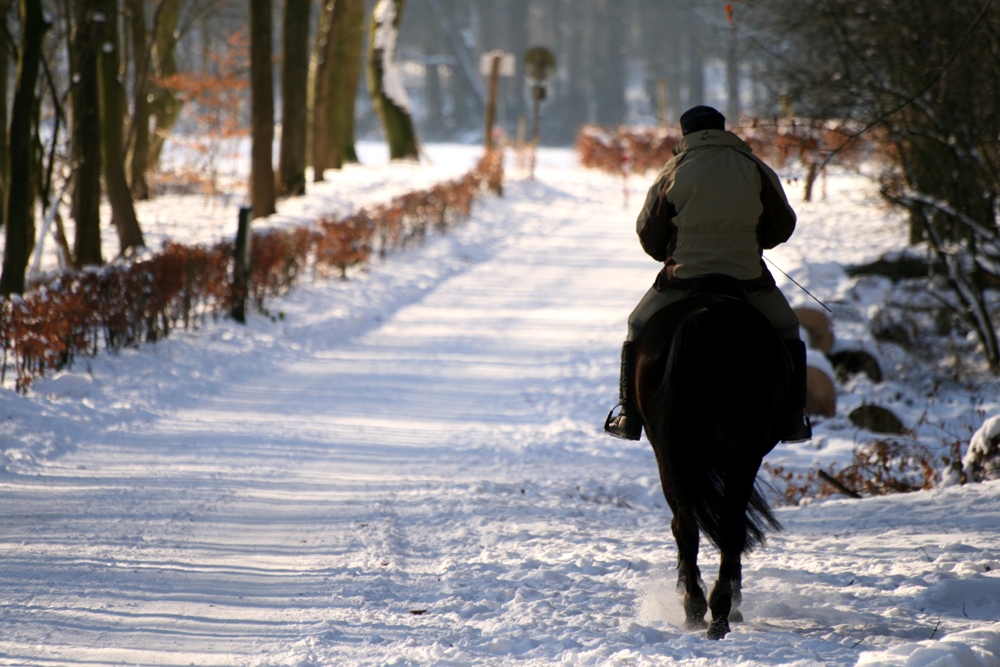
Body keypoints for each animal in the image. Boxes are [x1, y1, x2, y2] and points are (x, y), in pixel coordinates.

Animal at [632, 280, 788, 640]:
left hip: (667, 453)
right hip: (742, 453)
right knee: (730, 526)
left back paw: (694, 608)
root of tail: (703, 317)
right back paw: (720, 613)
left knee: (685, 526)